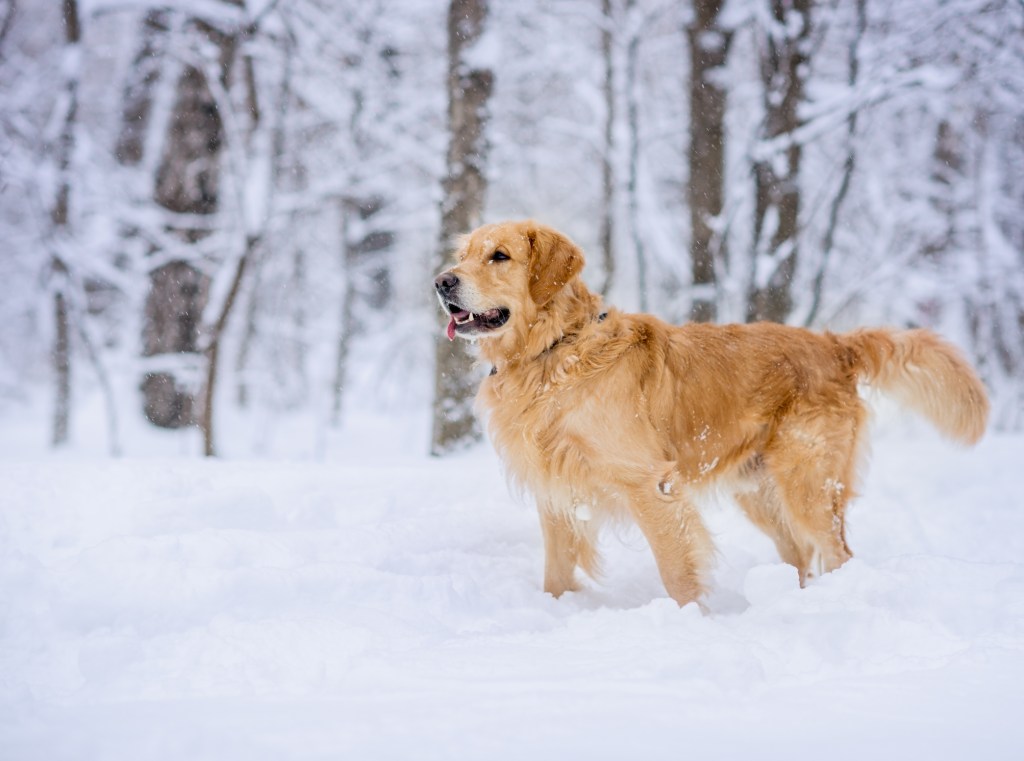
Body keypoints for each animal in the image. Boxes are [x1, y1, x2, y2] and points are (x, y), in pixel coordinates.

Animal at [434, 219, 991, 606]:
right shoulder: (556, 490)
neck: (555, 351)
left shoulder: (651, 483)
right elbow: (555, 575)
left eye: (499, 256)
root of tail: (834, 344)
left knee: (837, 554)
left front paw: (691, 622)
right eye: (463, 255)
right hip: (763, 494)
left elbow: (678, 571)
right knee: (802, 557)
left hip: (808, 483)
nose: (441, 282)